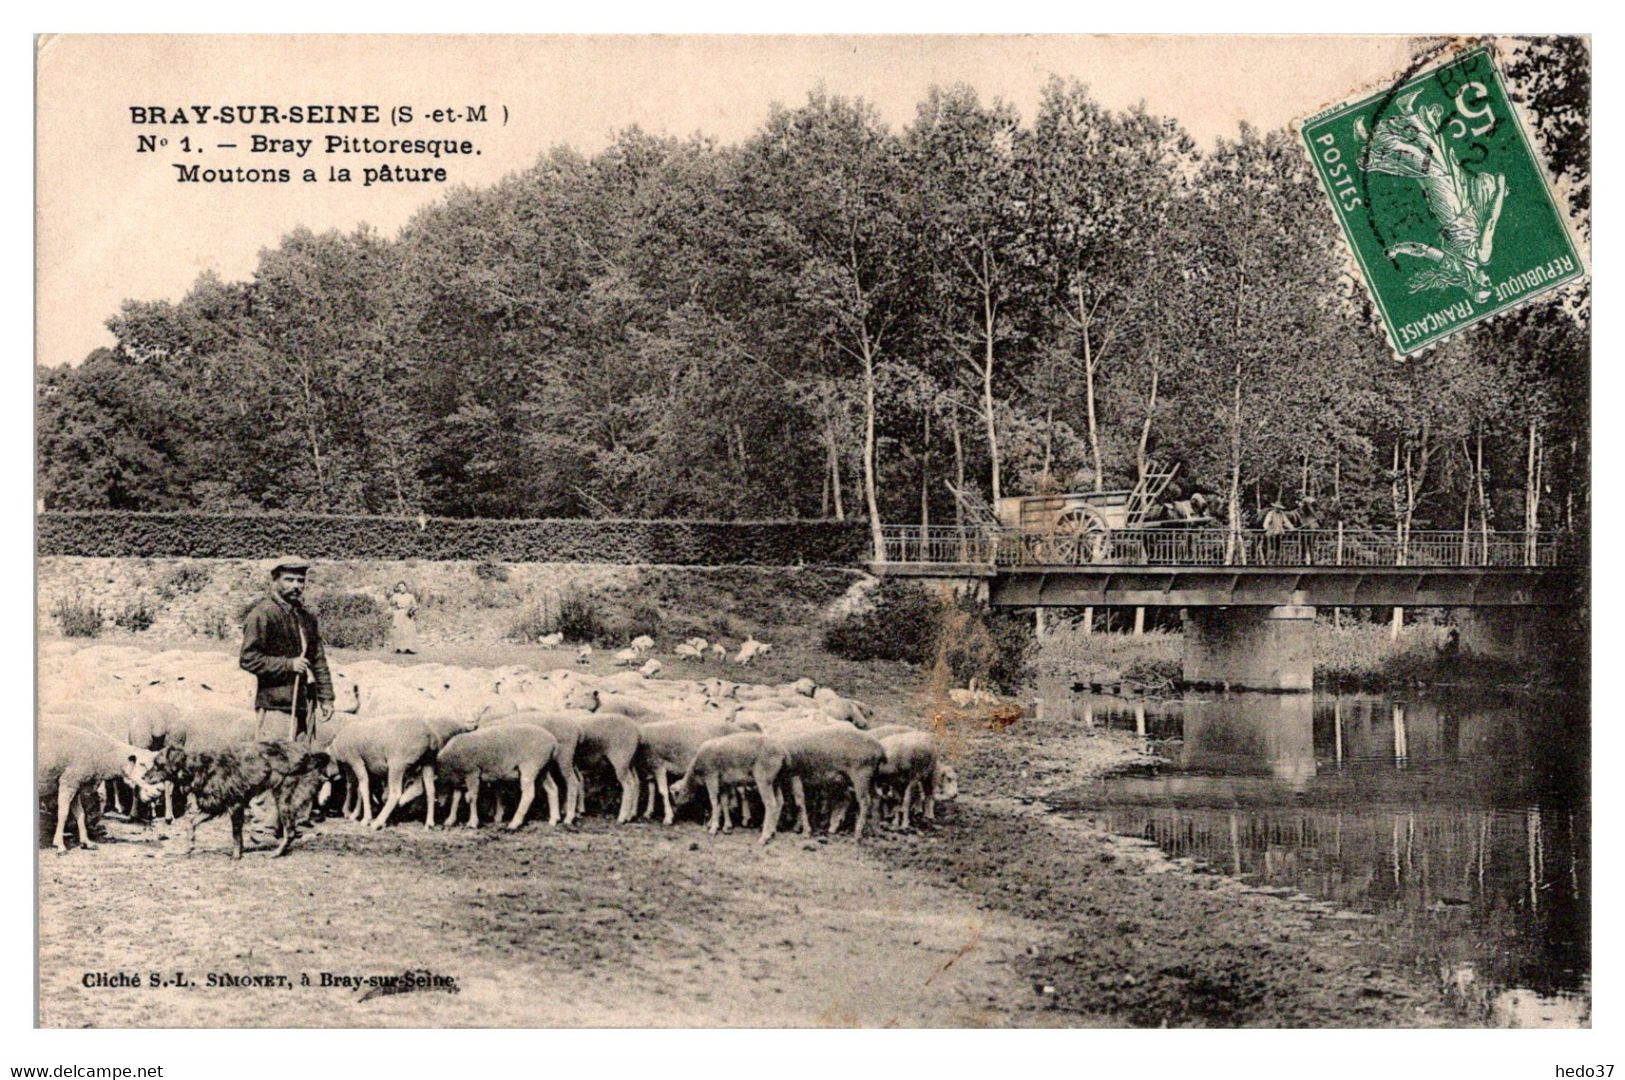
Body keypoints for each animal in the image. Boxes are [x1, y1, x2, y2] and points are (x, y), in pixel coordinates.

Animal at [144, 740, 334, 857]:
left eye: (157, 765)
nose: (143, 777)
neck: (198, 768)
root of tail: (307, 754)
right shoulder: (213, 807)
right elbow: (191, 823)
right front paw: (189, 845)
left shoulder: (235, 805)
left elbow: (236, 834)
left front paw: (236, 856)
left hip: (284, 798)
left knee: (291, 831)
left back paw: (276, 853)